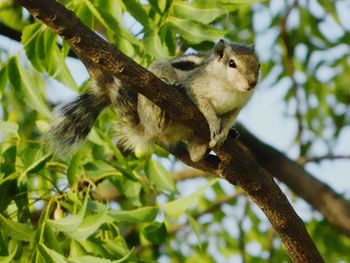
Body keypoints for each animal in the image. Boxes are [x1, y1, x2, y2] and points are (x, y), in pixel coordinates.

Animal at [47, 39, 260, 162]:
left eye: (258, 65)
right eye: (231, 63)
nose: (252, 83)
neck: (230, 89)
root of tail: (146, 129)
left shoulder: (238, 106)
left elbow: (230, 117)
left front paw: (225, 131)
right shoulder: (196, 87)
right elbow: (204, 105)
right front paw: (214, 123)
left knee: (194, 155)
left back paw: (204, 148)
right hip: (152, 101)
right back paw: (166, 112)